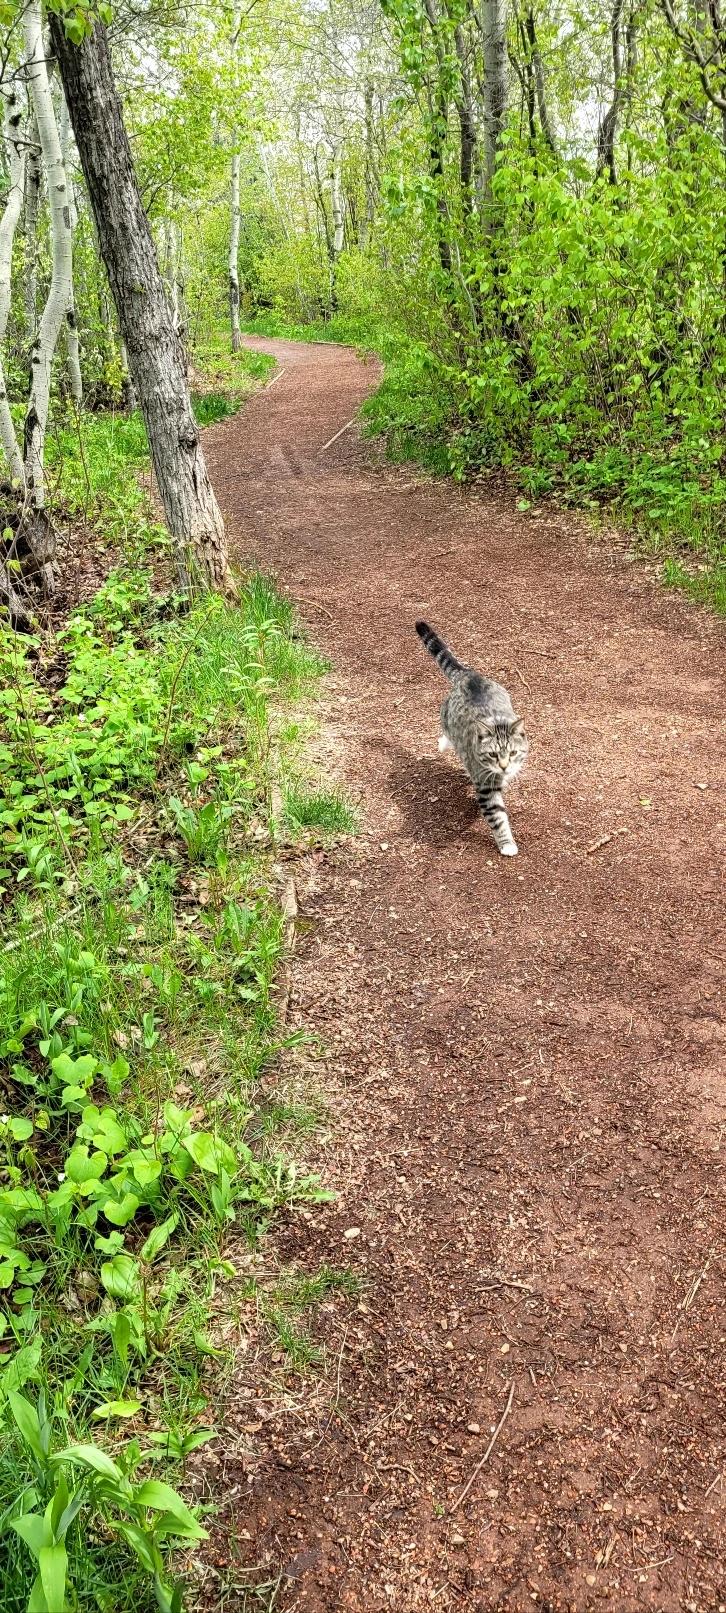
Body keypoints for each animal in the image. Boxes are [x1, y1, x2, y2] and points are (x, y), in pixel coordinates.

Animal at [415, 621, 529, 855]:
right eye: (493, 755)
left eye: (513, 752)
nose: (504, 766)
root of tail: (468, 675)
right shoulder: (486, 791)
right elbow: (498, 818)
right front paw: (507, 844)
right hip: (446, 716)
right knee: (447, 733)